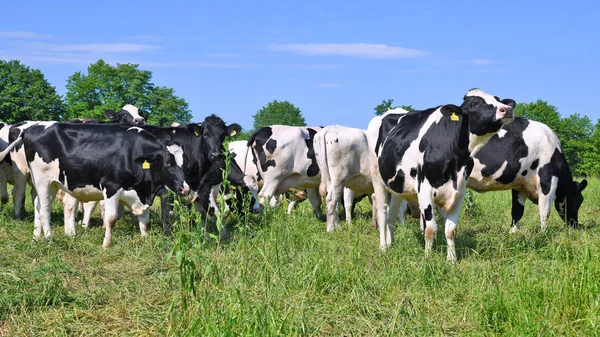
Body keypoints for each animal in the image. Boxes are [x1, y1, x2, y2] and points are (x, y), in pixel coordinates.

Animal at [1, 121, 189, 247]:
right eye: (168, 164)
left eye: (184, 163)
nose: (185, 188)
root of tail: (31, 128)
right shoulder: (111, 188)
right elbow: (111, 219)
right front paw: (106, 245)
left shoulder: (141, 194)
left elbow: (145, 221)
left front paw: (145, 240)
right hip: (41, 180)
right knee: (44, 209)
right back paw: (48, 238)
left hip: (52, 183)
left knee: (38, 205)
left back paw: (37, 236)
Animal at [370, 88, 516, 260]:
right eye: (475, 104)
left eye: (497, 99)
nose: (507, 109)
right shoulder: (424, 189)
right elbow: (430, 229)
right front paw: (427, 259)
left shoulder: (459, 191)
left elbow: (451, 229)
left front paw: (452, 260)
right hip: (377, 178)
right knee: (382, 212)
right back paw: (383, 247)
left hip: (398, 184)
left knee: (392, 213)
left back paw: (390, 243)